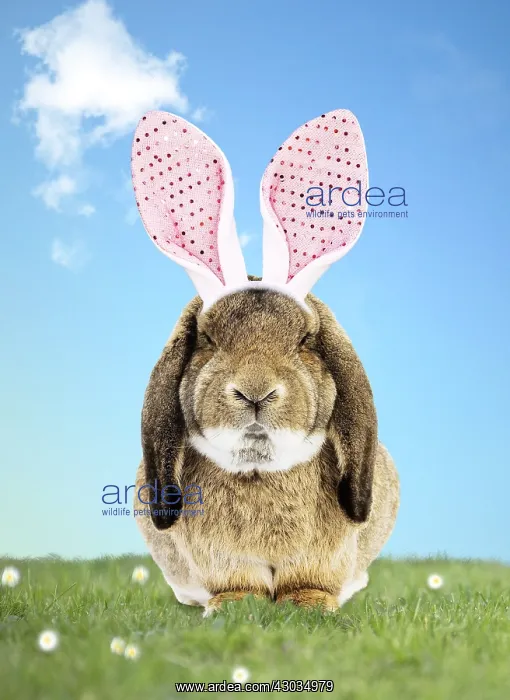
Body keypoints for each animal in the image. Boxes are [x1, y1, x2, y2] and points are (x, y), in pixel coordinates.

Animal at [131, 109, 399, 615]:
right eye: (207, 339)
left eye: (306, 340)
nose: (255, 393)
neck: (259, 467)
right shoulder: (221, 555)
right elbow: (237, 582)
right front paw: (235, 605)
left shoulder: (324, 555)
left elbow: (310, 581)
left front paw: (310, 604)